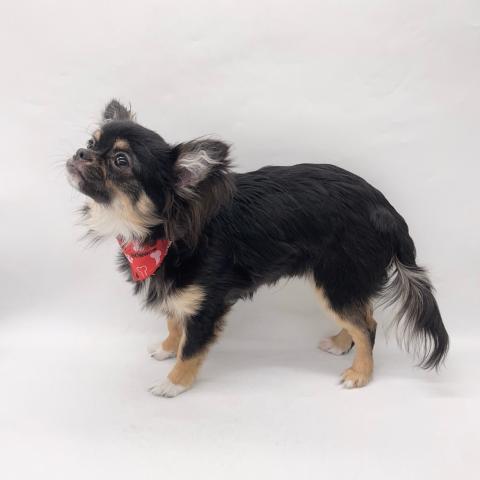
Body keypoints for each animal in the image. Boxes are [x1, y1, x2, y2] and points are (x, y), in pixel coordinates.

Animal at [66, 99, 449, 397]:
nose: (80, 151)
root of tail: (386, 210)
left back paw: (360, 374)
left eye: (121, 161)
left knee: (367, 327)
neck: (163, 234)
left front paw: (174, 383)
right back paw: (342, 344)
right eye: (90, 141)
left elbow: (191, 347)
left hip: (336, 280)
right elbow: (175, 323)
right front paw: (165, 348)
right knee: (365, 316)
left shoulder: (206, 305)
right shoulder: (178, 293)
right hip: (345, 281)